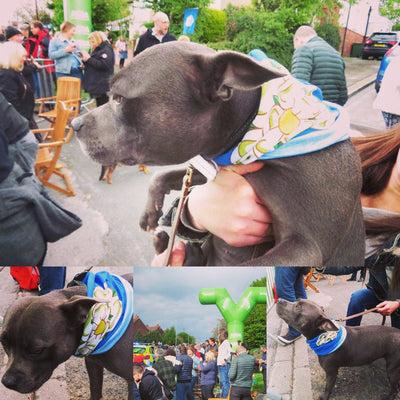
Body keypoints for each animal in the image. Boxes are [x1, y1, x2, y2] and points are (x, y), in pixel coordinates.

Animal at [72, 41, 366, 266]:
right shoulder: (210, 169)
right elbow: (163, 176)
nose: (74, 124)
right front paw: (150, 213)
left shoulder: (306, 247)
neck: (249, 129)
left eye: (119, 98)